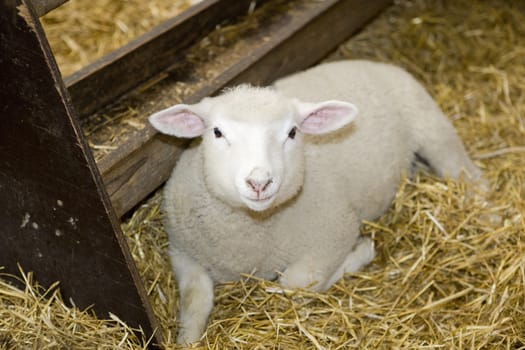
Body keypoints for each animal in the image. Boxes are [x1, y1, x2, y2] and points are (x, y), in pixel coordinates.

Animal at [147, 60, 484, 344]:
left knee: (469, 174)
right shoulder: (181, 250)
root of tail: (376, 63)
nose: (259, 182)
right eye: (217, 132)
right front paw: (186, 339)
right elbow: (195, 299)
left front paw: (359, 253)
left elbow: (293, 285)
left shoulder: (333, 233)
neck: (252, 236)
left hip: (433, 128)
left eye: (292, 132)